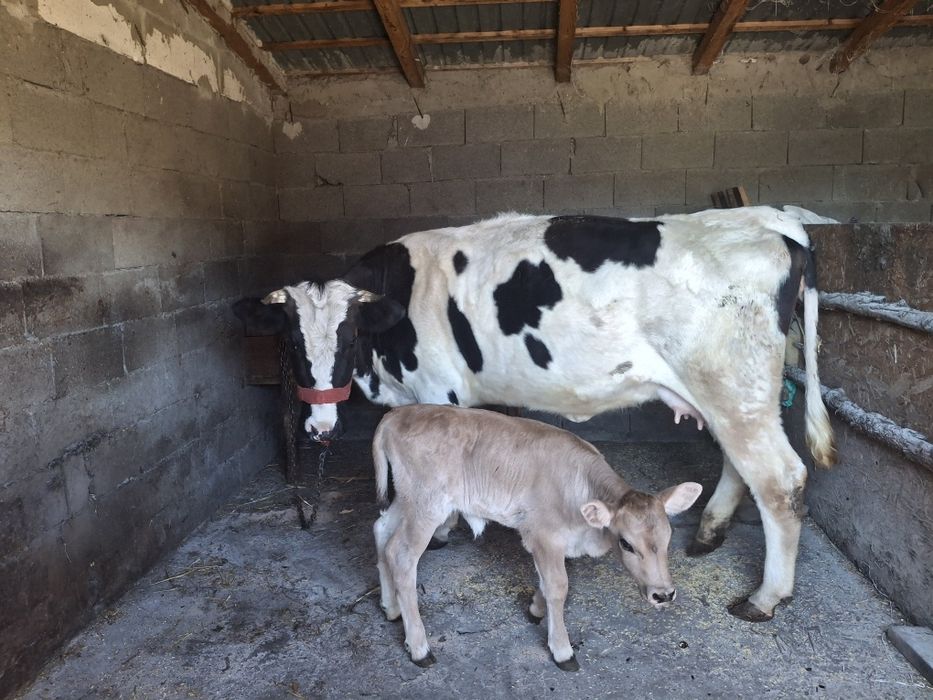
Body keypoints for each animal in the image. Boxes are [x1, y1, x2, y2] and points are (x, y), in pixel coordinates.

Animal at [233, 205, 836, 623]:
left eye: (348, 334)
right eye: (292, 339)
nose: (318, 426)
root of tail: (775, 230)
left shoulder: (437, 387)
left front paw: (445, 529)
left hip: (730, 385)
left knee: (780, 480)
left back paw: (765, 597)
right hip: (738, 394)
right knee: (743, 465)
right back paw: (709, 532)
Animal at [372, 404, 703, 670]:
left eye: (669, 537)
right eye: (626, 543)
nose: (663, 595)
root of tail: (395, 414)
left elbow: (545, 582)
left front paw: (535, 609)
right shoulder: (544, 535)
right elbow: (558, 586)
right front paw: (562, 650)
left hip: (407, 500)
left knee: (381, 532)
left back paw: (391, 608)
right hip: (427, 505)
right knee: (401, 555)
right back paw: (419, 647)